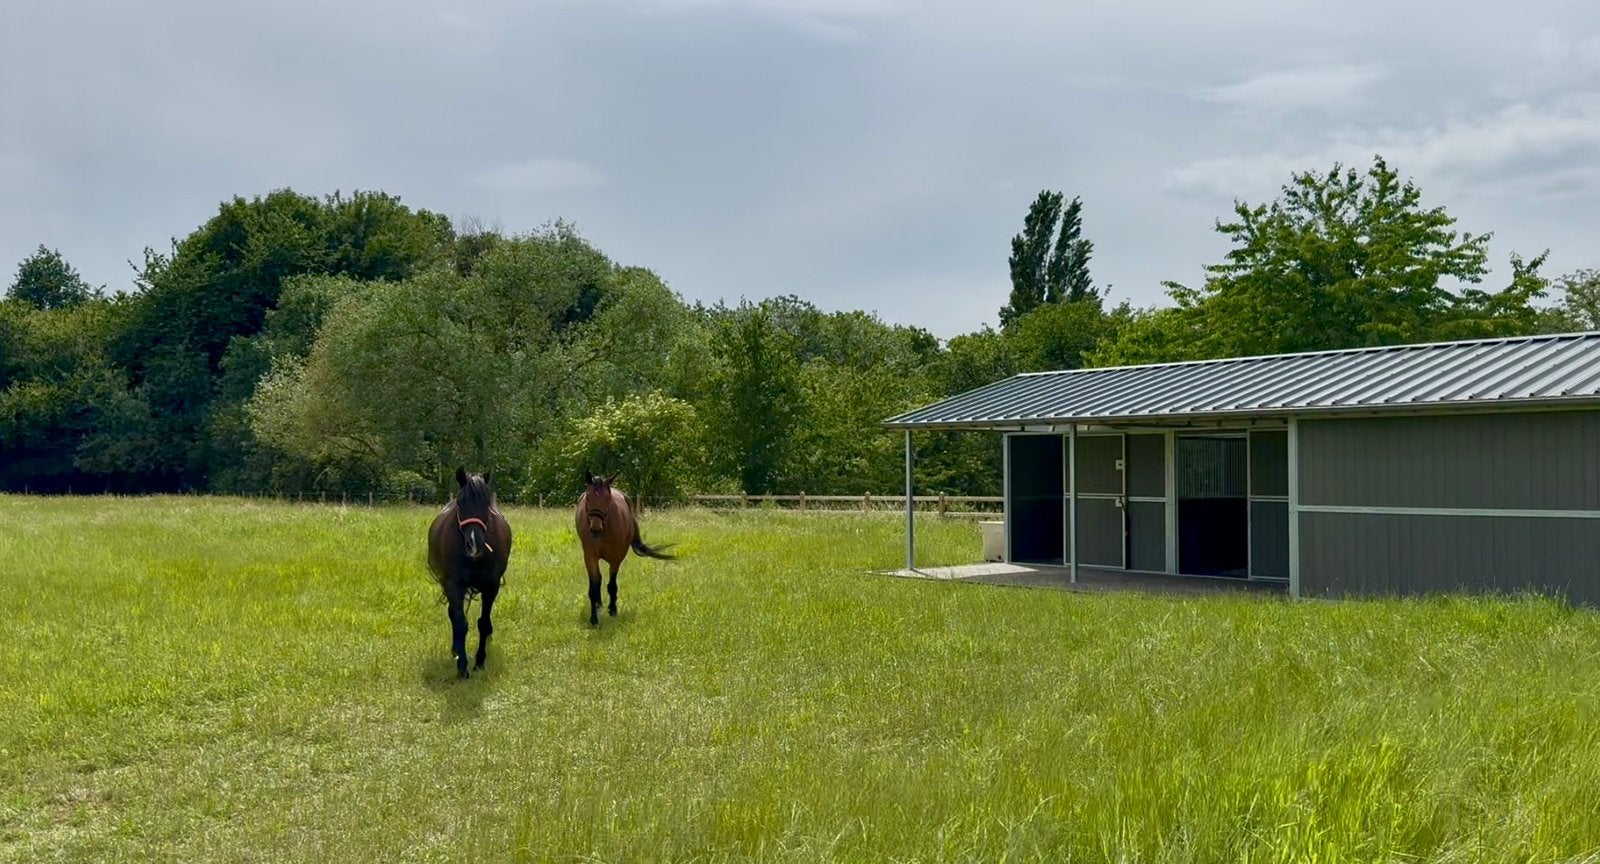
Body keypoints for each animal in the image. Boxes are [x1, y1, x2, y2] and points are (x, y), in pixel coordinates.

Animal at [427, 467, 513, 679]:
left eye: (487, 503)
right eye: (460, 502)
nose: (474, 544)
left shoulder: (491, 586)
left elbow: (483, 623)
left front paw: (480, 661)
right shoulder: (453, 585)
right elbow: (460, 623)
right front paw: (463, 666)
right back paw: (456, 650)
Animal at [575, 469, 676, 626]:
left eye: (607, 499)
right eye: (588, 498)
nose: (595, 529)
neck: (605, 530)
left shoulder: (616, 558)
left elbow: (612, 585)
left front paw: (613, 610)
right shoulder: (590, 556)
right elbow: (594, 586)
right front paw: (594, 618)